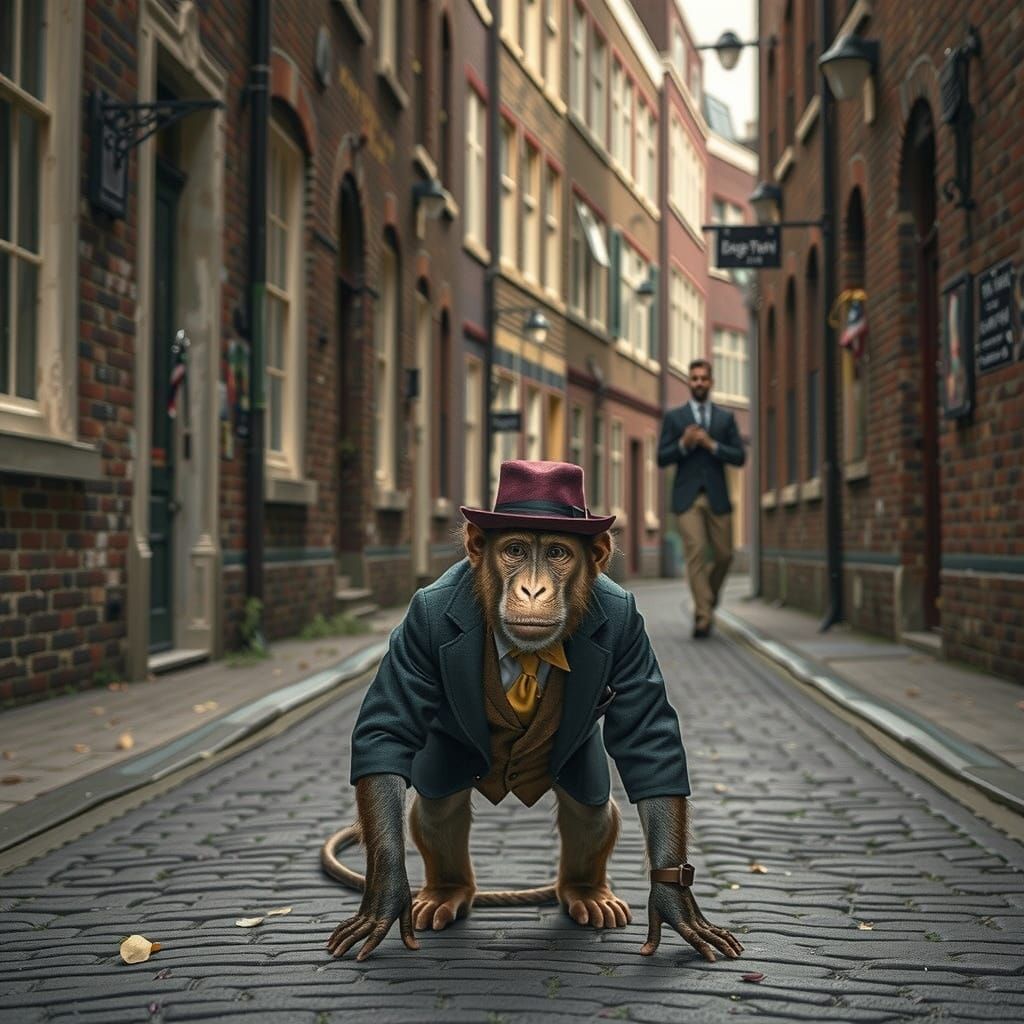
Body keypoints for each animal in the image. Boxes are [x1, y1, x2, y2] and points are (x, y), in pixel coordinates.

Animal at [323, 460, 742, 964]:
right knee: (439, 804)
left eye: (558, 552)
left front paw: (672, 900)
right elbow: (386, 730)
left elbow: (648, 742)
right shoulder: (420, 625)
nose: (532, 587)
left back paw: (585, 892)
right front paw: (386, 893)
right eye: (516, 550)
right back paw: (447, 891)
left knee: (590, 809)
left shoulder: (629, 631)